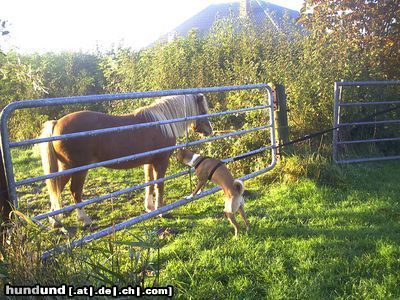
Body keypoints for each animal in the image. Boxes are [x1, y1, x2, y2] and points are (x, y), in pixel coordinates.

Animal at [39, 94, 212, 227]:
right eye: (203, 110)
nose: (210, 130)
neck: (162, 123)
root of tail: (57, 124)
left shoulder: (148, 162)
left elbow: (149, 183)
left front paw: (149, 208)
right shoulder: (161, 162)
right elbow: (159, 185)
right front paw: (161, 211)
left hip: (66, 166)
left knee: (57, 188)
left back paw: (55, 220)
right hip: (79, 168)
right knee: (75, 191)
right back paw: (85, 220)